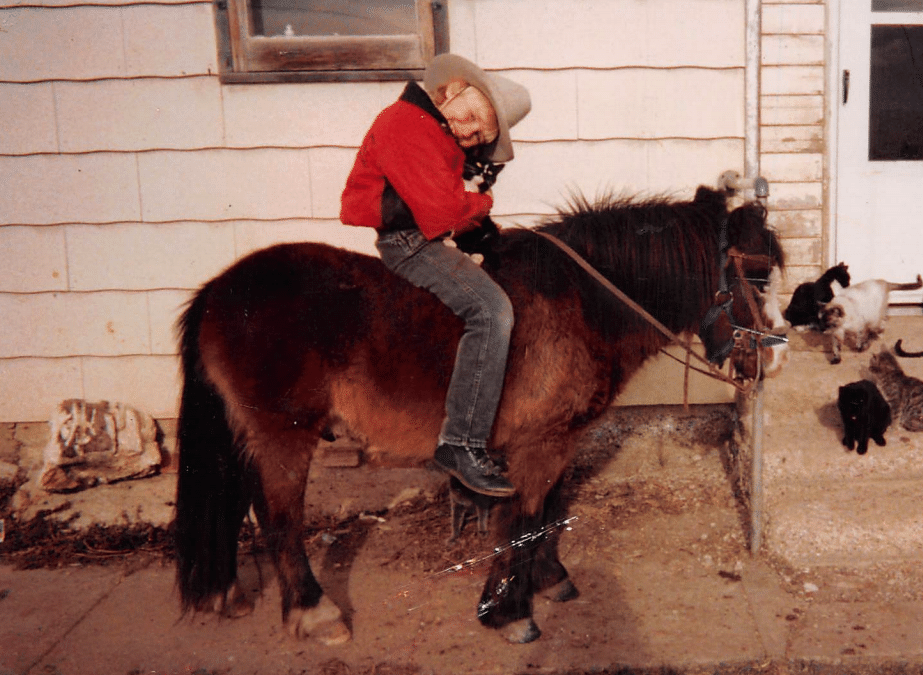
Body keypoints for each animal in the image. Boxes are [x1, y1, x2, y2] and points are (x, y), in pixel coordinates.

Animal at [173, 184, 788, 644]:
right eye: (756, 274)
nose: (777, 357)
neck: (583, 304)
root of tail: (218, 291)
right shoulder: (538, 444)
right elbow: (522, 519)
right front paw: (508, 610)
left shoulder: (560, 440)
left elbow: (547, 513)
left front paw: (547, 580)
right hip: (285, 434)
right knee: (280, 519)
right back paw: (314, 611)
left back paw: (230, 591)